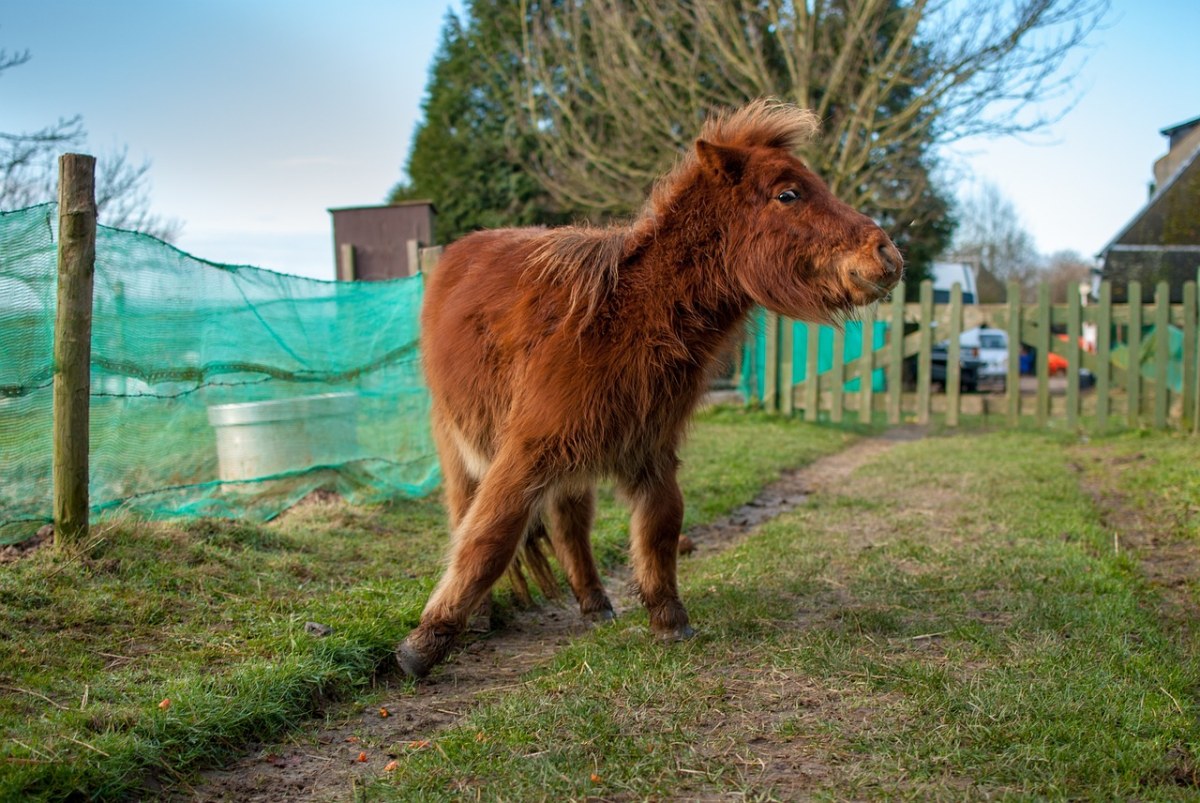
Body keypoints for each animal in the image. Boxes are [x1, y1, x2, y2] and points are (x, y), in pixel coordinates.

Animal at [398, 100, 902, 676]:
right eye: (788, 194)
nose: (888, 256)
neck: (621, 321)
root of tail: (458, 251)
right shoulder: (525, 451)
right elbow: (488, 537)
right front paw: (424, 645)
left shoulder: (650, 448)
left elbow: (661, 527)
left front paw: (669, 620)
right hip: (461, 444)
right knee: (466, 512)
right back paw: (481, 617)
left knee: (570, 523)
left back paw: (594, 603)